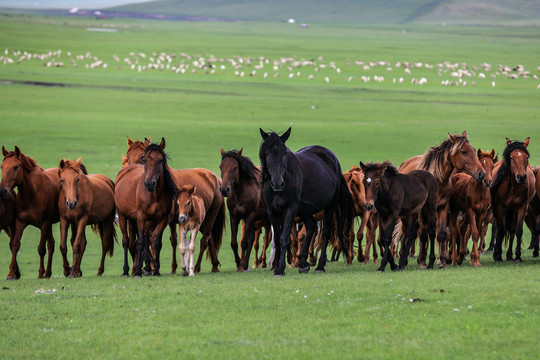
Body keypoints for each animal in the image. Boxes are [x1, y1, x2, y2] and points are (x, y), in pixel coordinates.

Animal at [0, 146, 60, 278]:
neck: (32, 194)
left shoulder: (44, 223)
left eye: (15, 167)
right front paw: (11, 274)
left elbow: (41, 248)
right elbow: (15, 245)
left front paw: (40, 274)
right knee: (51, 244)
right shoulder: (20, 222)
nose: (3, 190)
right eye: (1, 166)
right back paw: (49, 273)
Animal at [258, 126, 354, 276]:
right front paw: (276, 266)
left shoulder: (291, 208)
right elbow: (277, 239)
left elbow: (284, 238)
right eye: (267, 153)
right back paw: (303, 263)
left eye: (284, 153)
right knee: (311, 227)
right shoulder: (272, 211)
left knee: (325, 232)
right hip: (305, 210)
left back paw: (320, 266)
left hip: (329, 206)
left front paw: (280, 268)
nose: (278, 183)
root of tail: (333, 158)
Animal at [400, 131, 486, 268]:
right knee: (406, 233)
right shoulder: (422, 211)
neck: (437, 180)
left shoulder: (443, 207)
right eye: (464, 152)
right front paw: (422, 261)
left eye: (473, 150)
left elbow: (441, 233)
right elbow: (423, 234)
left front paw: (443, 261)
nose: (481, 174)